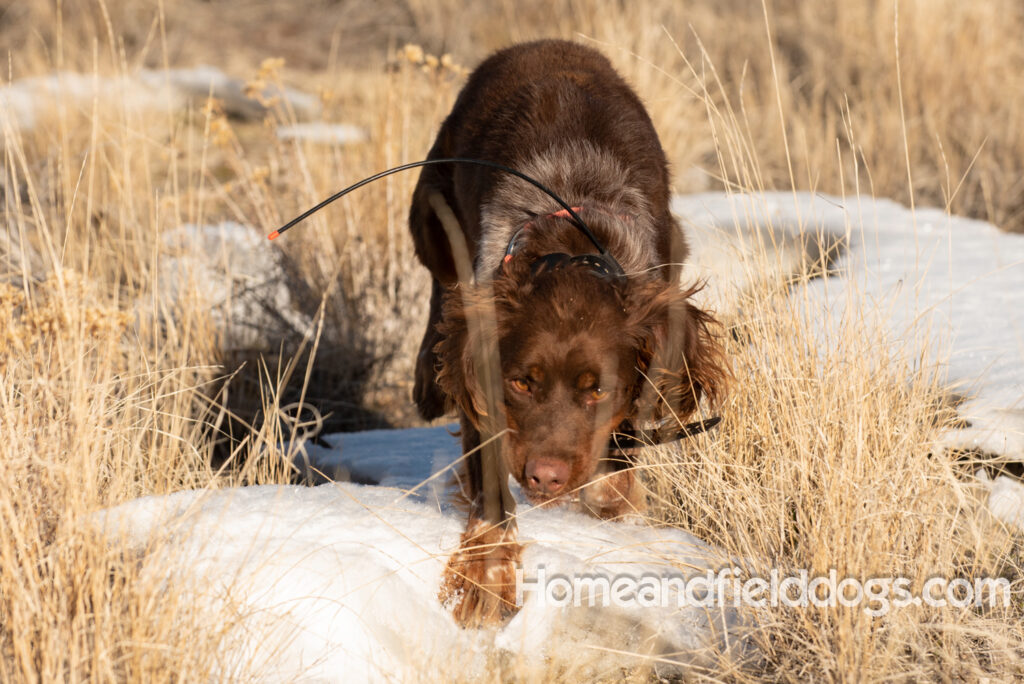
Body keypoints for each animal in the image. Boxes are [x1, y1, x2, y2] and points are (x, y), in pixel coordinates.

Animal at [407, 40, 729, 626]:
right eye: (521, 383)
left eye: (597, 390)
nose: (545, 478)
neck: (572, 242)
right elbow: (490, 490)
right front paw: (484, 585)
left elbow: (616, 462)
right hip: (431, 214)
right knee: (440, 286)